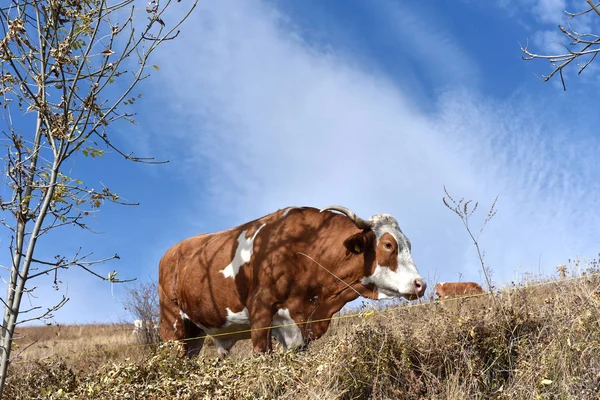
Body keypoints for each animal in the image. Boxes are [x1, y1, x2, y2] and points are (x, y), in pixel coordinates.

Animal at [157, 205, 424, 358]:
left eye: (410, 244)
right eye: (388, 244)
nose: (420, 284)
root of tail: (171, 252)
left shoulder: (297, 325)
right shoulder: (261, 313)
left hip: (195, 335)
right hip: (172, 326)